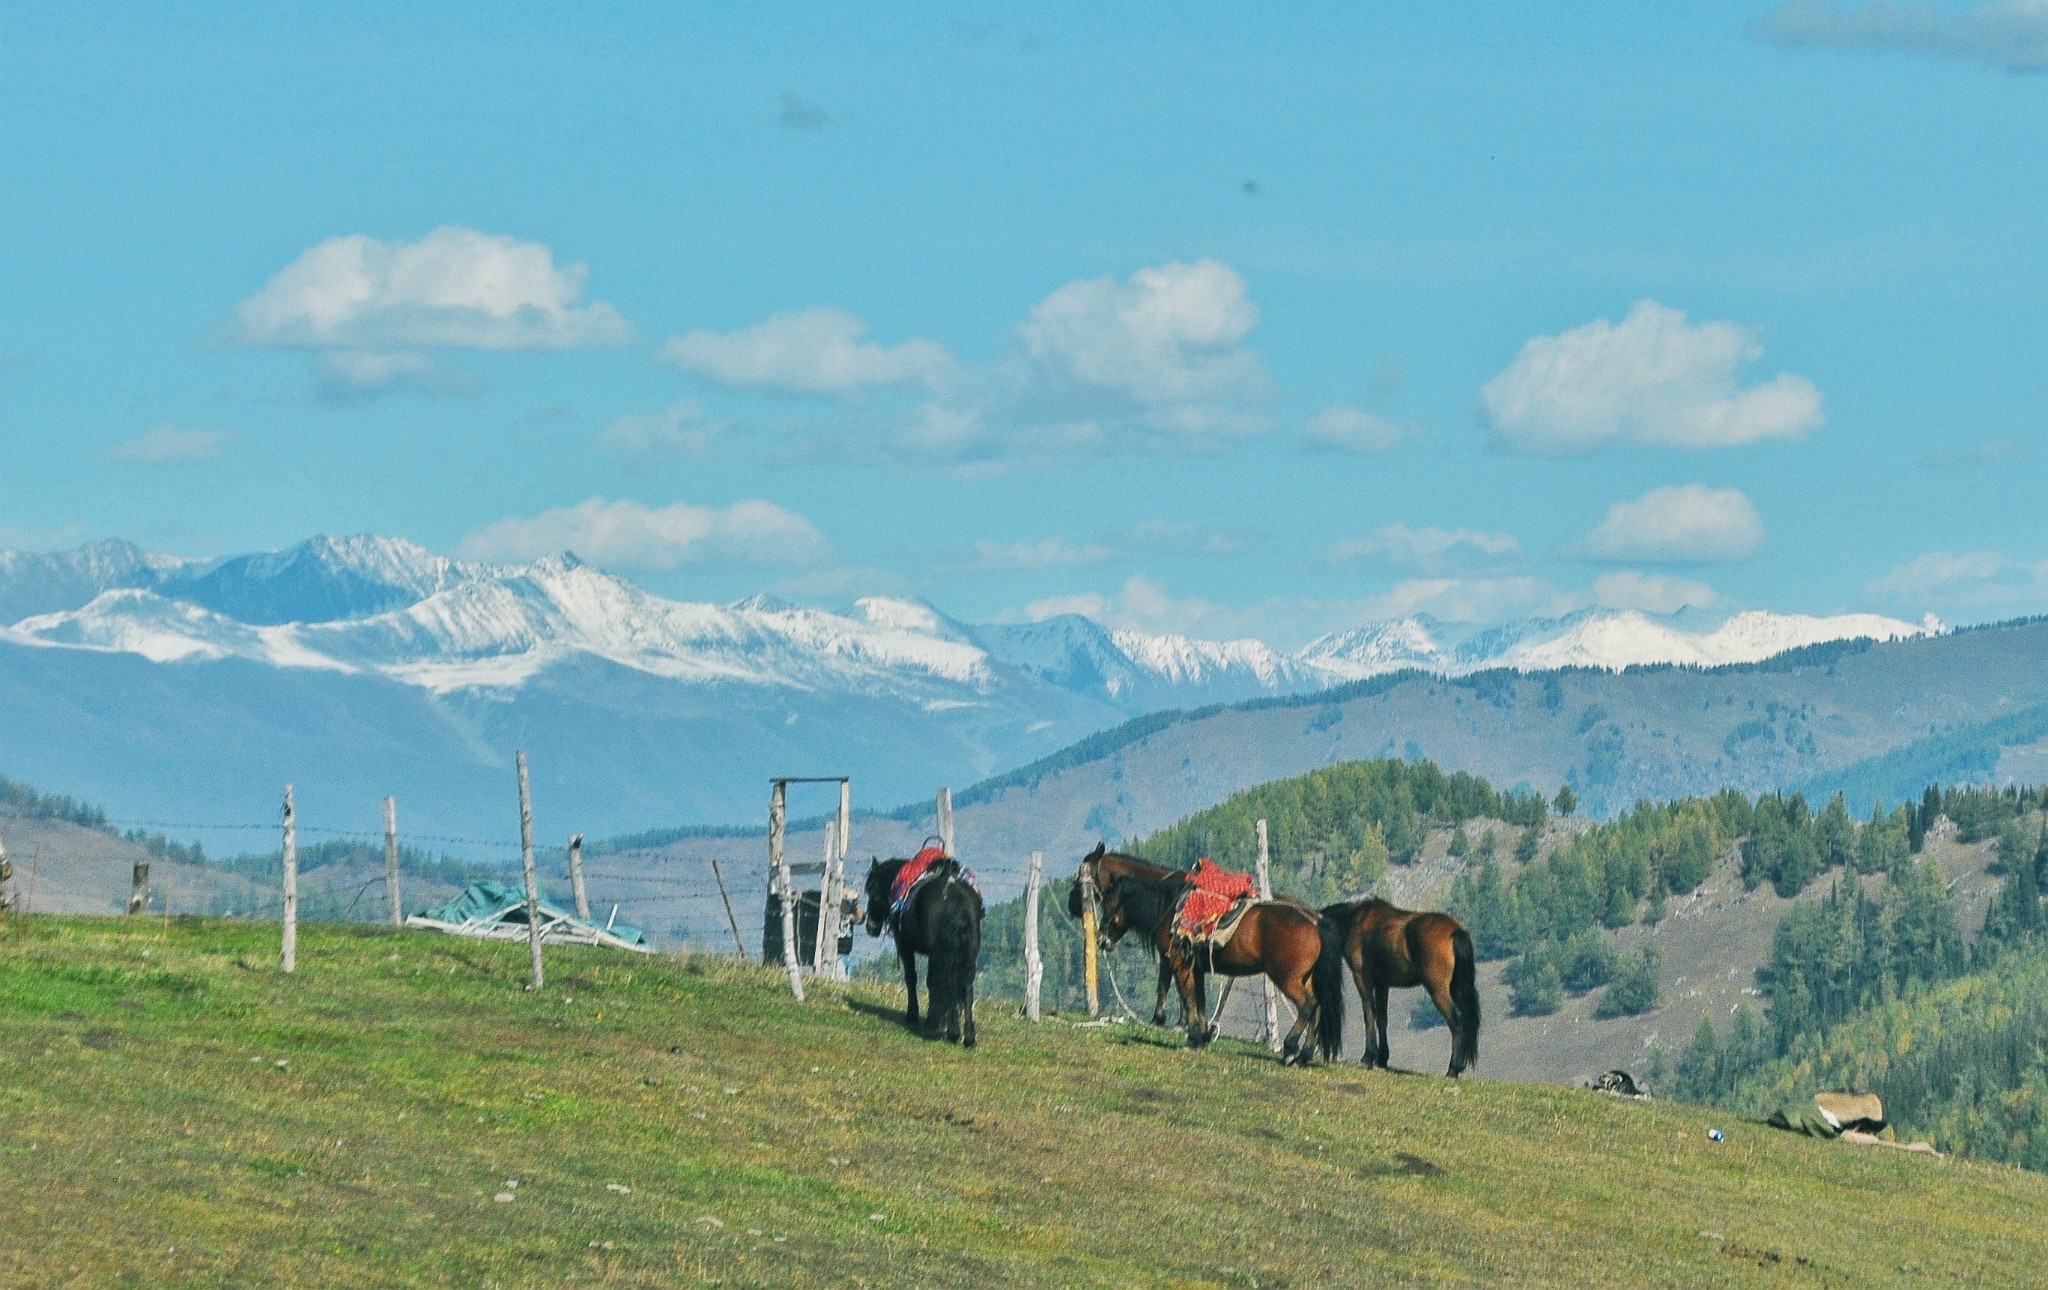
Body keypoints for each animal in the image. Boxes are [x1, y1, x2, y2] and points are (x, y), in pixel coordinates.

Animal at [864, 860, 983, 1048]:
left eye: (871, 889)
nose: (870, 927)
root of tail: (955, 895)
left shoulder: (904, 945)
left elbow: (912, 978)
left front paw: (912, 1015)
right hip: (968, 955)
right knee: (965, 987)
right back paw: (968, 1036)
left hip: (939, 954)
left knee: (945, 982)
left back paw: (947, 1030)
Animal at [1105, 880, 1343, 1072]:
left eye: (1108, 904)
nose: (1102, 939)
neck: (1171, 912)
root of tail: (1315, 922)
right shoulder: (1197, 970)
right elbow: (1200, 1002)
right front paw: (1201, 1038)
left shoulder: (1180, 965)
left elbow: (1189, 999)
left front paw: (1192, 1039)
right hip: (1307, 978)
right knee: (1318, 1007)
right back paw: (1304, 1055)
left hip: (1287, 978)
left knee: (1308, 1005)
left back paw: (1290, 1049)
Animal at [1318, 900, 1482, 1081]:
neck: (1354, 919)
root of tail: (1455, 931)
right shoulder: (1382, 983)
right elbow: (1382, 1019)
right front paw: (1382, 1059)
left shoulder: (1362, 977)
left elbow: (1369, 1015)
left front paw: (1368, 1057)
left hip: (1438, 990)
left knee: (1456, 1020)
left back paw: (1453, 1069)